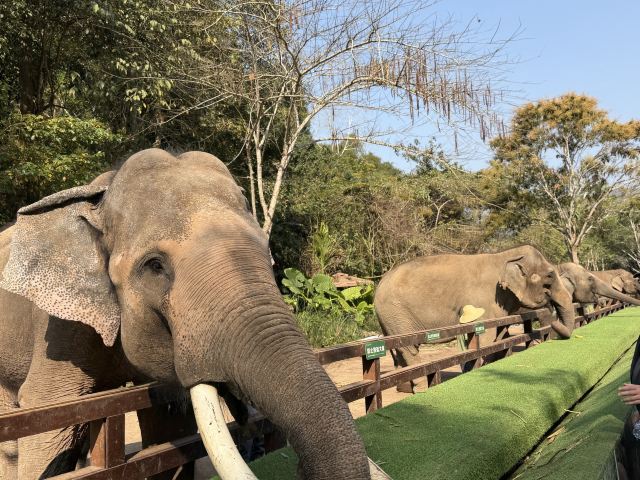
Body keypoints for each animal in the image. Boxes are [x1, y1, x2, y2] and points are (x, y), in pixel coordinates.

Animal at [0, 149, 375, 479]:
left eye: (268, 255)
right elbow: (51, 410)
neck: (100, 197)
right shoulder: (61, 326)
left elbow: (167, 423)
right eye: (154, 266)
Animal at [374, 245, 576, 392]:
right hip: (396, 313)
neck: (506, 255)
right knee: (409, 349)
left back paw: (404, 389)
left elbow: (499, 337)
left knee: (399, 351)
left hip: (390, 319)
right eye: (549, 278)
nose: (553, 321)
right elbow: (486, 338)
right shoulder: (483, 300)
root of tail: (379, 284)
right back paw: (422, 390)